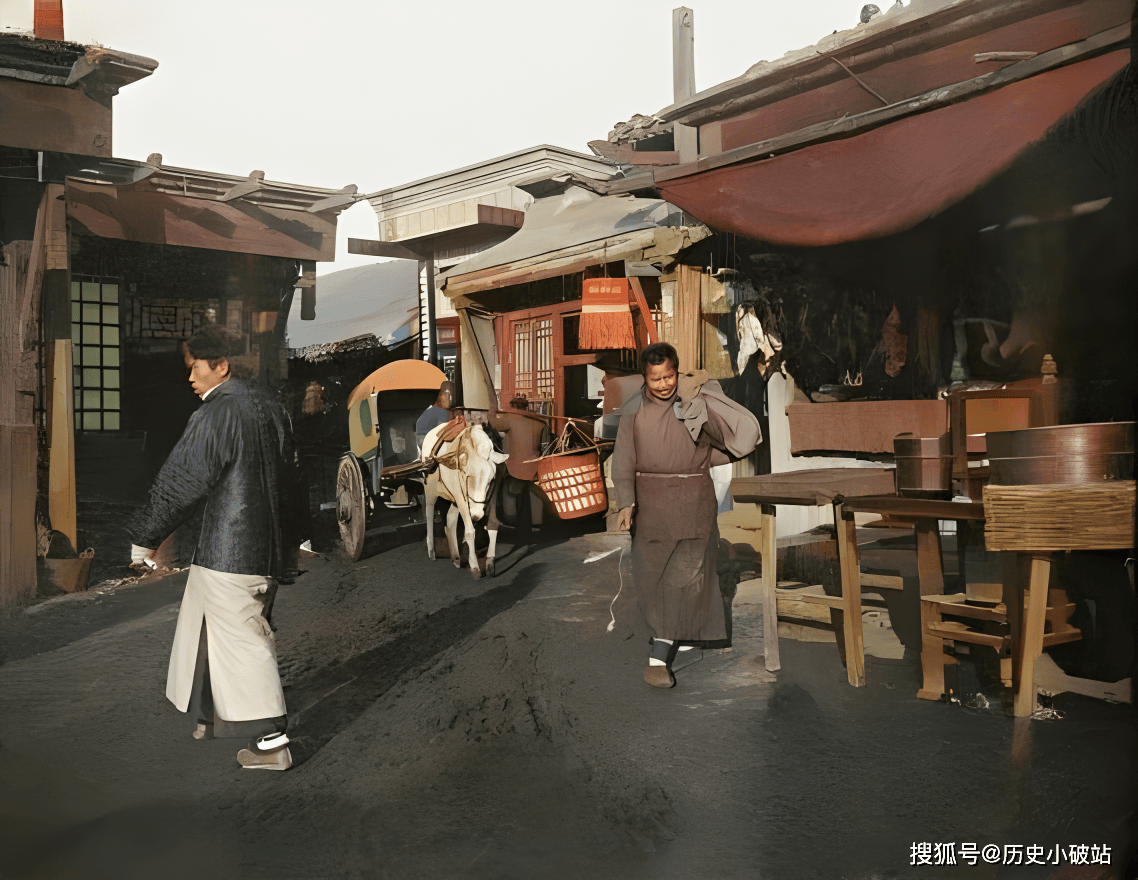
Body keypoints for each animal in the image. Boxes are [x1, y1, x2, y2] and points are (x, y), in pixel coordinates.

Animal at [423, 423, 507, 580]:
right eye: (467, 475)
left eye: (490, 480)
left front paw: (490, 562)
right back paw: (431, 549)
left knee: (450, 519)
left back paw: (456, 557)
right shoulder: (460, 495)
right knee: (429, 512)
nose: (476, 514)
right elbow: (469, 531)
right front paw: (474, 567)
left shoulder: (494, 491)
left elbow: (493, 524)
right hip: (430, 489)